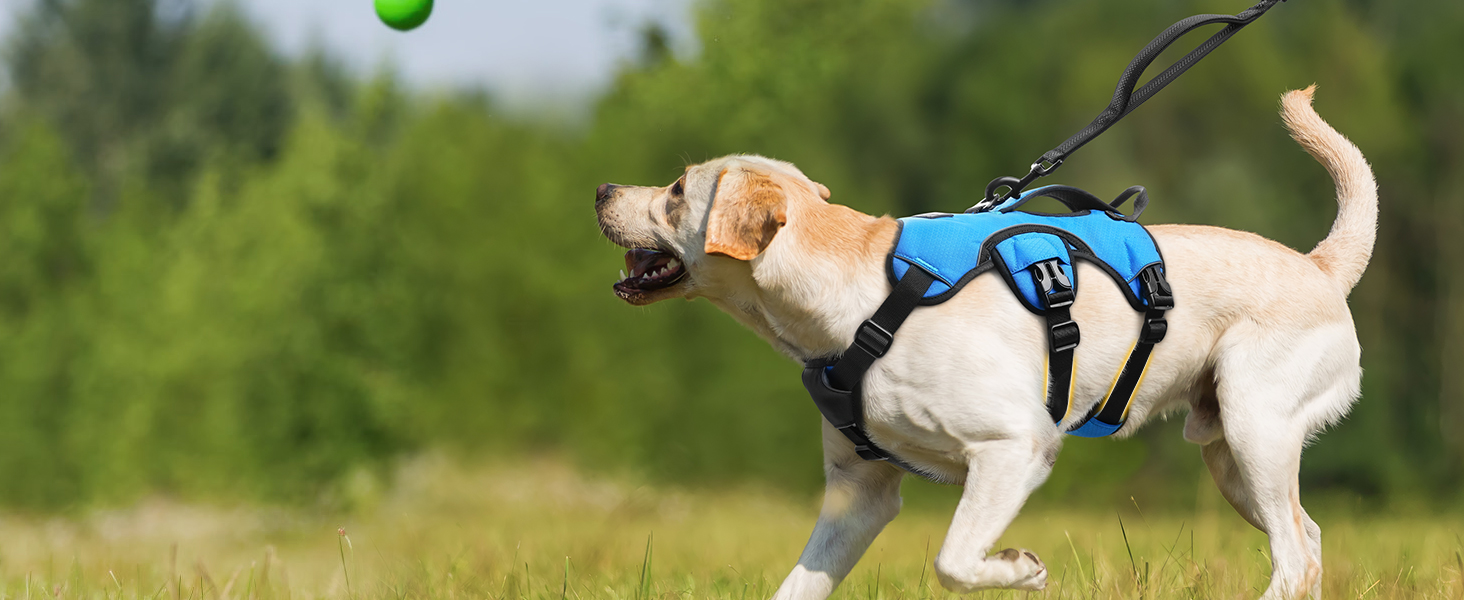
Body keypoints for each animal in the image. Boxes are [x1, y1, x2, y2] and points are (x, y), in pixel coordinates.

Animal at [591, 88, 1370, 600]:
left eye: (676, 189)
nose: (600, 188)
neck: (864, 301)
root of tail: (1320, 266)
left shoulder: (1013, 448)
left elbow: (955, 558)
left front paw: (1020, 570)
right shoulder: (859, 494)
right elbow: (799, 585)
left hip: (1253, 424)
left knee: (1294, 558)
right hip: (1232, 456)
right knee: (1308, 539)